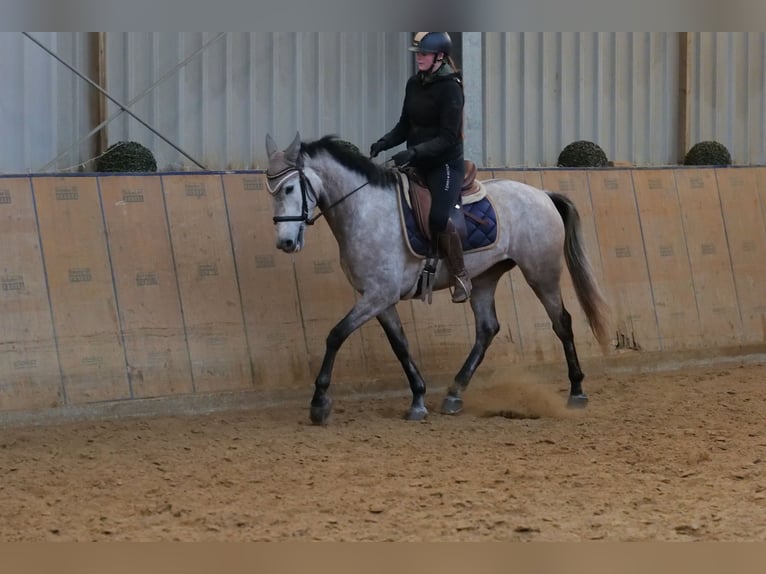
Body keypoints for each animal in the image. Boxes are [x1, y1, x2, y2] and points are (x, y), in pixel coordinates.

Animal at [266, 133, 612, 426]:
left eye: (289, 188)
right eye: (271, 191)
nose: (285, 243)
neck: (365, 211)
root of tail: (542, 194)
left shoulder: (378, 295)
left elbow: (336, 335)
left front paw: (319, 402)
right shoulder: (379, 298)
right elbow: (400, 345)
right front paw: (418, 399)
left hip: (541, 273)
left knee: (562, 322)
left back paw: (576, 392)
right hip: (484, 278)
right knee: (487, 329)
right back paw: (454, 394)